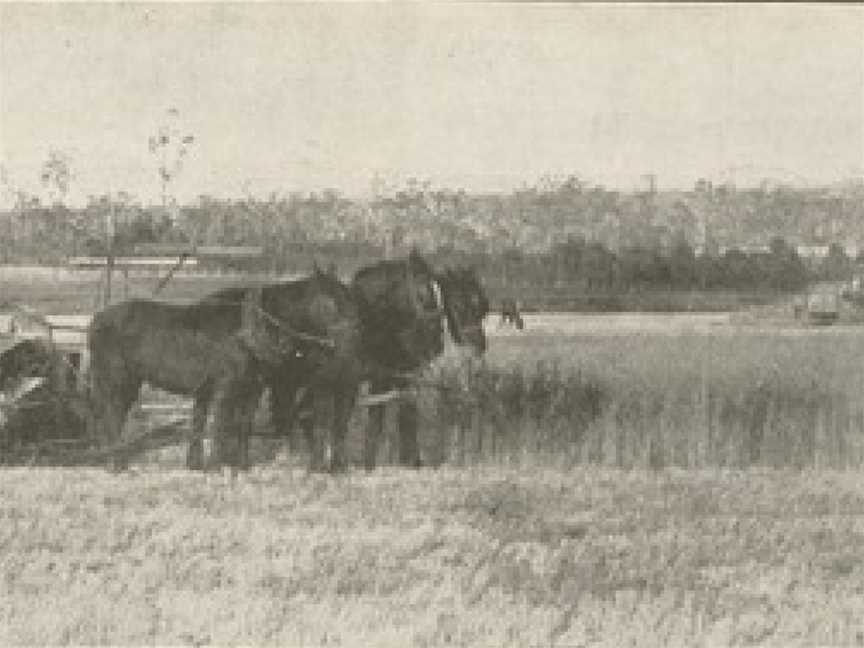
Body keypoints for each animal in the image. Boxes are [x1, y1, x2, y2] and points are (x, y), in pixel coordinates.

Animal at [90, 268, 364, 470]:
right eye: (331, 300)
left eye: (348, 295)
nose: (357, 330)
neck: (249, 326)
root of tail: (97, 319)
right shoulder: (225, 387)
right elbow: (220, 425)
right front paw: (215, 465)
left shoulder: (252, 387)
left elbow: (241, 425)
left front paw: (240, 465)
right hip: (117, 381)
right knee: (111, 416)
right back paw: (116, 463)